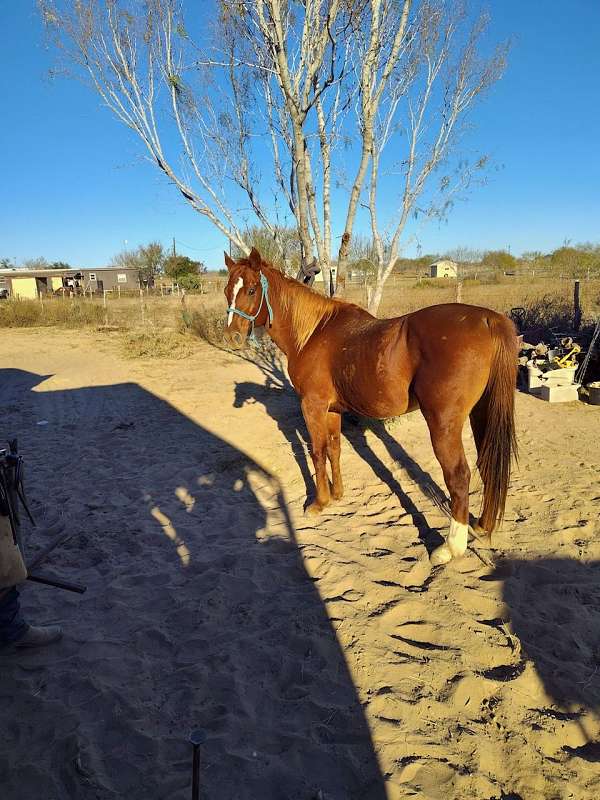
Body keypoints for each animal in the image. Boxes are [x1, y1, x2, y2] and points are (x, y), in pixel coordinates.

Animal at [223, 247, 516, 564]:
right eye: (227, 290)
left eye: (251, 290)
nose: (232, 337)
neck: (313, 334)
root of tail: (487, 318)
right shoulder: (332, 410)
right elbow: (334, 449)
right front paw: (337, 495)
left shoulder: (312, 406)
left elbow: (317, 452)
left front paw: (319, 503)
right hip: (481, 412)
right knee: (486, 463)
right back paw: (482, 525)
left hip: (444, 423)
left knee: (459, 476)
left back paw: (450, 548)